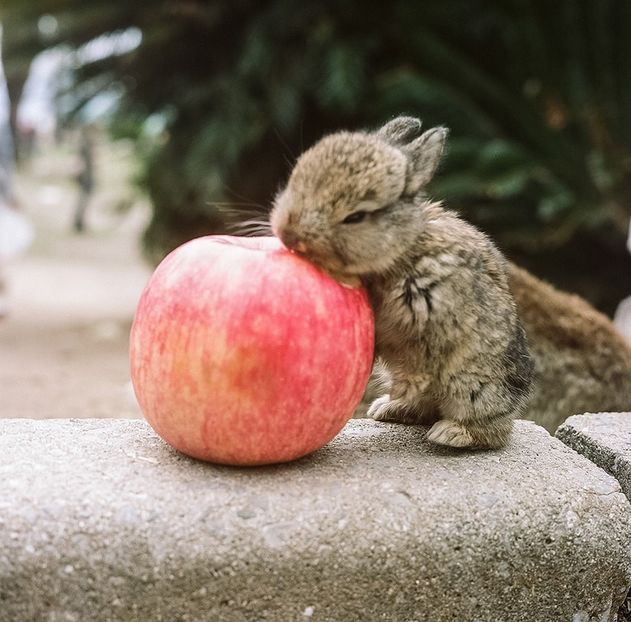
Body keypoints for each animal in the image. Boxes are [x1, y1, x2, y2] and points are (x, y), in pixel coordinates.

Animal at [270, 117, 532, 448]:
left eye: (356, 216)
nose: (288, 234)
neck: (402, 249)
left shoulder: (431, 321)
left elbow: (422, 362)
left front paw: (405, 388)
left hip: (472, 385)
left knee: (490, 429)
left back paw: (450, 432)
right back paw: (388, 409)